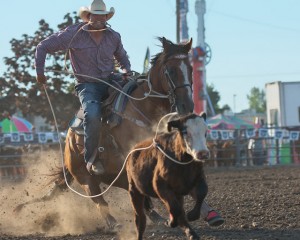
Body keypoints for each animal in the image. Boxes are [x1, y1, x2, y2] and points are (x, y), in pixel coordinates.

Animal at [14, 37, 195, 229]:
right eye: (171, 71)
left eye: (190, 69)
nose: (187, 106)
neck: (145, 107)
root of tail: (69, 139)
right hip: (84, 175)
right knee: (98, 199)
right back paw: (113, 222)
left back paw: (153, 215)